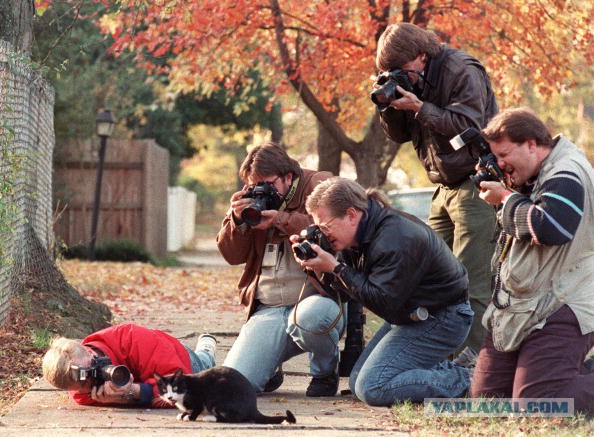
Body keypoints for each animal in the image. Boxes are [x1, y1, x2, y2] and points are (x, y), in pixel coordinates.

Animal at [154, 364, 294, 422]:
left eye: (175, 387)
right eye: (165, 390)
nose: (170, 397)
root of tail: (253, 408)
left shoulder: (198, 397)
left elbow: (196, 408)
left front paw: (189, 416)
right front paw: (183, 414)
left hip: (218, 396)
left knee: (235, 418)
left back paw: (210, 418)